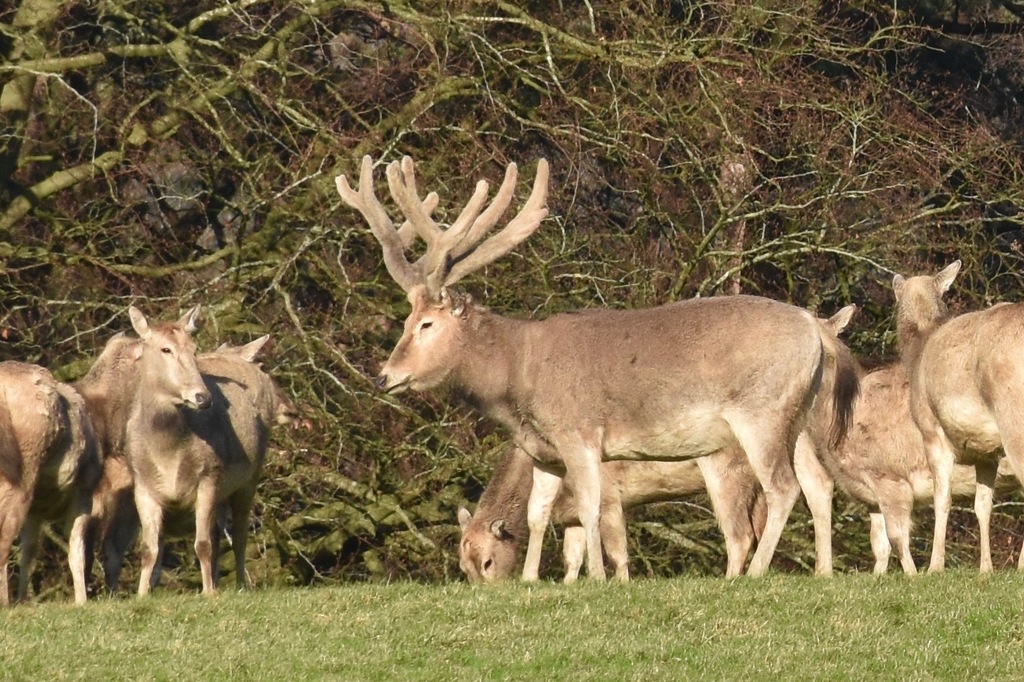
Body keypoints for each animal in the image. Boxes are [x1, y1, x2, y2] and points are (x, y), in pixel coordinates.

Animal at [0, 358, 101, 602]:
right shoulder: (85, 490)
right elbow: (77, 550)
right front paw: (81, 601)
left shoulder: (36, 511)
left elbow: (28, 553)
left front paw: (23, 601)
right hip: (23, 469)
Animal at [460, 444, 765, 581]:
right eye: (463, 567)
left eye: (488, 561)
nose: (487, 590)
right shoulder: (572, 518)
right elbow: (572, 559)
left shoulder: (608, 500)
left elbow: (618, 552)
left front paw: (621, 583)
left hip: (726, 473)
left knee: (740, 535)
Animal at [892, 262, 1024, 569]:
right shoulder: (985, 453)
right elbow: (982, 505)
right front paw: (985, 569)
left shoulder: (931, 432)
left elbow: (942, 499)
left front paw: (934, 566)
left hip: (1014, 417)